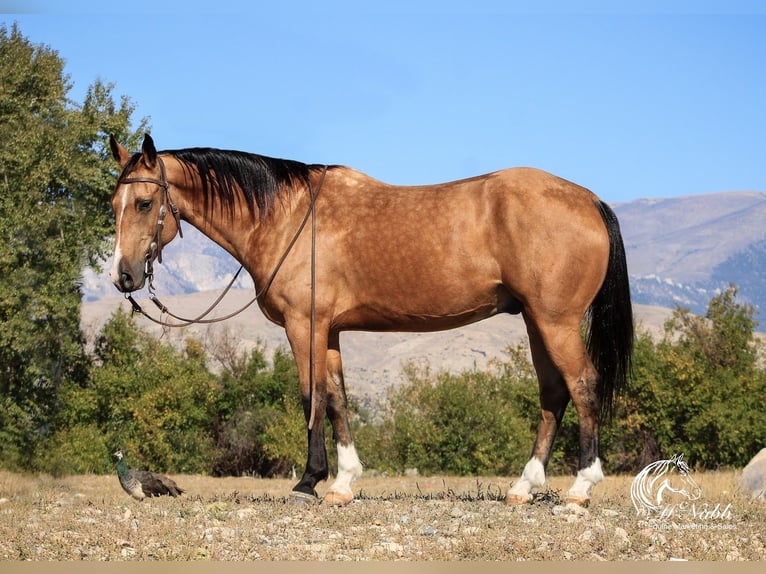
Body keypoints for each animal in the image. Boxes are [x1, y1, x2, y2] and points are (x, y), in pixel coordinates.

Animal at [109, 134, 636, 508]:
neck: (289, 216)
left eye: (144, 204)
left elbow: (312, 397)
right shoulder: (331, 331)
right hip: (535, 321)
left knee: (583, 386)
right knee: (554, 395)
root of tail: (589, 200)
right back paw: (524, 488)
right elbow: (338, 400)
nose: (123, 276)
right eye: (114, 205)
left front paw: (308, 483)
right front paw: (343, 483)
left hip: (556, 321)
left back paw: (580, 490)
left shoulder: (305, 326)